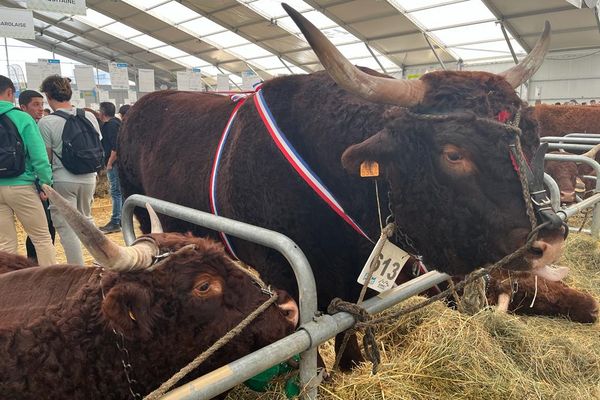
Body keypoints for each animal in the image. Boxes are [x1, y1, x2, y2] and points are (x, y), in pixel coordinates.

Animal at [118, 5, 568, 368]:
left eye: (532, 137)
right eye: (454, 153)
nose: (551, 238)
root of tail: (142, 104)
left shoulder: (356, 282)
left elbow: (347, 329)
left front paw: (350, 365)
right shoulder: (289, 277)